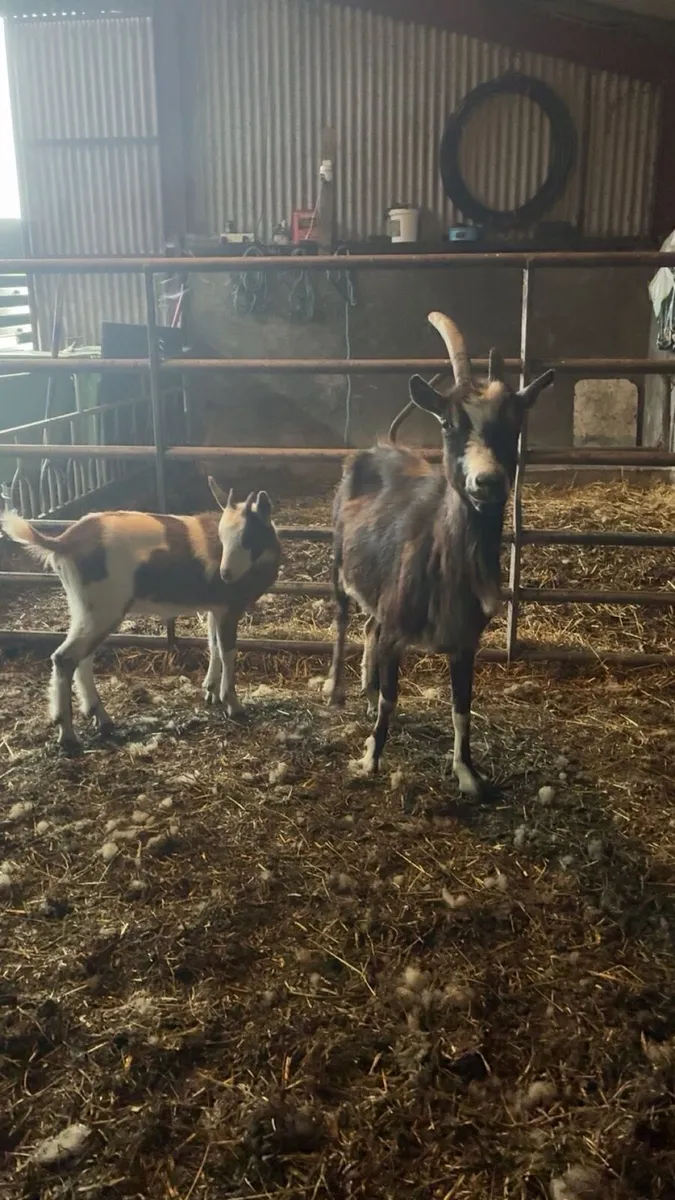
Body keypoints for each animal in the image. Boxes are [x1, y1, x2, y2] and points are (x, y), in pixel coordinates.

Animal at [0, 480, 281, 752]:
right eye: (223, 536)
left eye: (248, 537)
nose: (226, 575)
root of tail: (62, 543)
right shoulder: (230, 606)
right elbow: (228, 650)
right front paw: (233, 704)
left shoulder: (216, 607)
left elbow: (212, 644)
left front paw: (210, 691)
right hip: (104, 606)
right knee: (65, 657)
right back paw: (69, 736)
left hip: (84, 607)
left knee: (83, 658)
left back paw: (100, 718)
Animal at [324, 311, 554, 794]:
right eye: (449, 423)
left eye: (514, 424)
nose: (487, 482)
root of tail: (380, 447)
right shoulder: (397, 631)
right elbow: (393, 698)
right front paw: (371, 756)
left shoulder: (466, 640)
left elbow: (462, 707)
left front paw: (467, 772)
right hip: (337, 562)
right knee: (342, 619)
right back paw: (336, 689)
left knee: (369, 626)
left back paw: (366, 690)